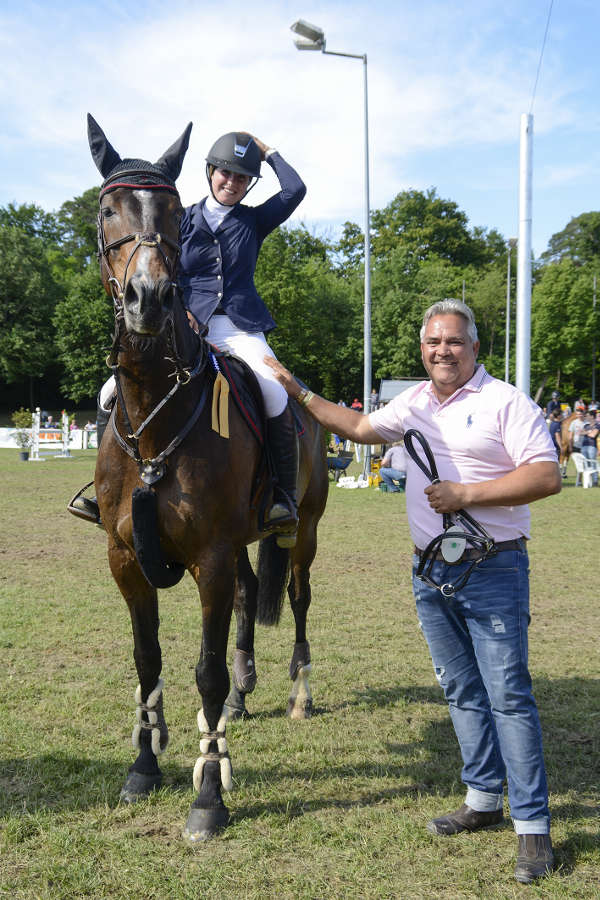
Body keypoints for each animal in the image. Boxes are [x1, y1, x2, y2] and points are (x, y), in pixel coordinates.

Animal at [86, 116, 326, 840]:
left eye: (170, 214)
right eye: (108, 208)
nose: (150, 299)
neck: (154, 416)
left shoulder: (211, 557)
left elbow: (208, 671)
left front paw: (209, 796)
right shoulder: (126, 558)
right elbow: (148, 661)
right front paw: (143, 767)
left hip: (300, 530)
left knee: (297, 599)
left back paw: (299, 692)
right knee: (251, 595)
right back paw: (247, 700)